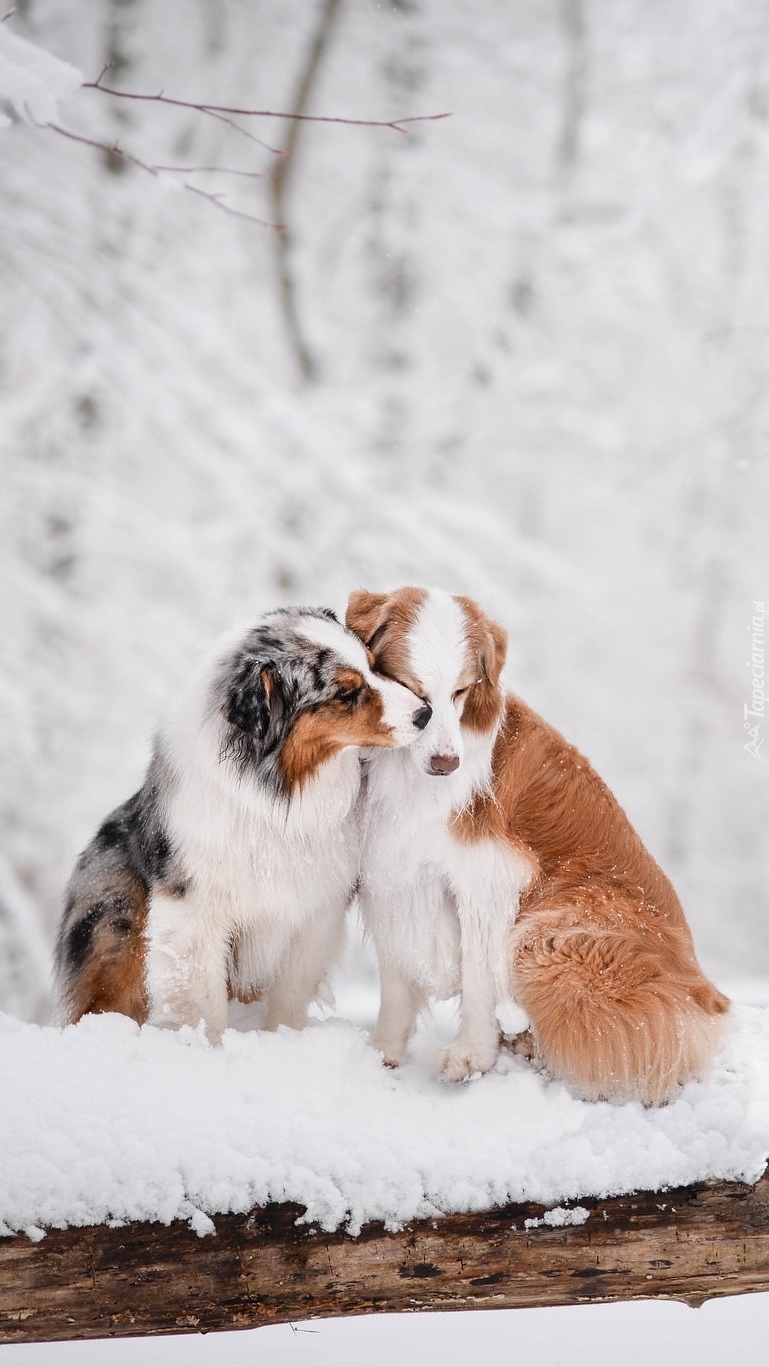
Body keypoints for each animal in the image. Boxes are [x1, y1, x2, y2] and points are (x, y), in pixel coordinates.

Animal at [345, 582, 732, 1104]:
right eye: (414, 691)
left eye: (461, 691)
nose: (446, 763)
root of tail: (708, 997)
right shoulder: (391, 873)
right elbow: (396, 982)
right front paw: (381, 1055)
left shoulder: (488, 875)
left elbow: (478, 974)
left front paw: (472, 1056)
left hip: (544, 941)